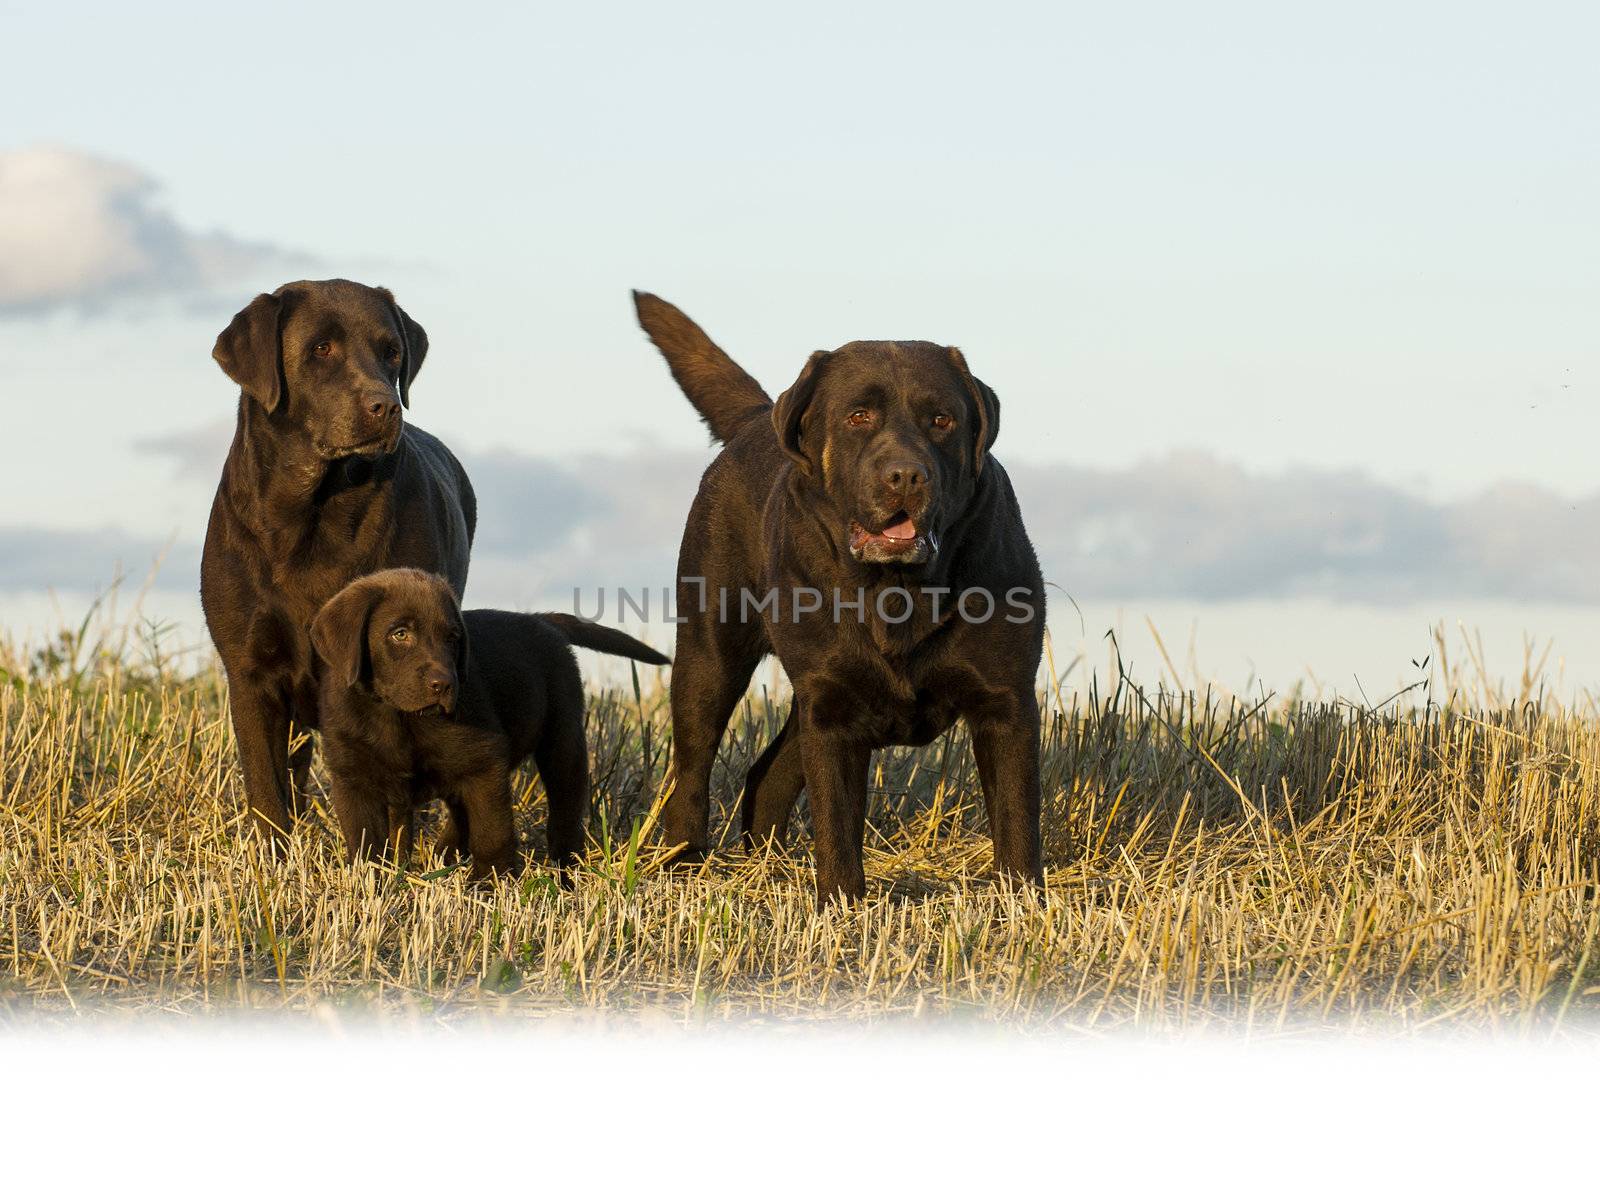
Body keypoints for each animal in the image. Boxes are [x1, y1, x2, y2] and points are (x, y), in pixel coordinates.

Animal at [201, 281, 473, 844]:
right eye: (321, 349)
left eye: (392, 353)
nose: (385, 406)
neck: (307, 513)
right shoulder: (249, 672)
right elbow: (266, 790)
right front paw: (273, 857)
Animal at [312, 569, 668, 876]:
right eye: (400, 634)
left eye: (453, 637)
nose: (445, 685)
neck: (397, 717)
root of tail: (541, 620)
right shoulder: (353, 780)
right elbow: (366, 845)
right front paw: (373, 883)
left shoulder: (485, 762)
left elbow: (491, 831)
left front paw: (490, 881)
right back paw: (446, 854)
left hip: (562, 740)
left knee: (565, 807)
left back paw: (566, 868)